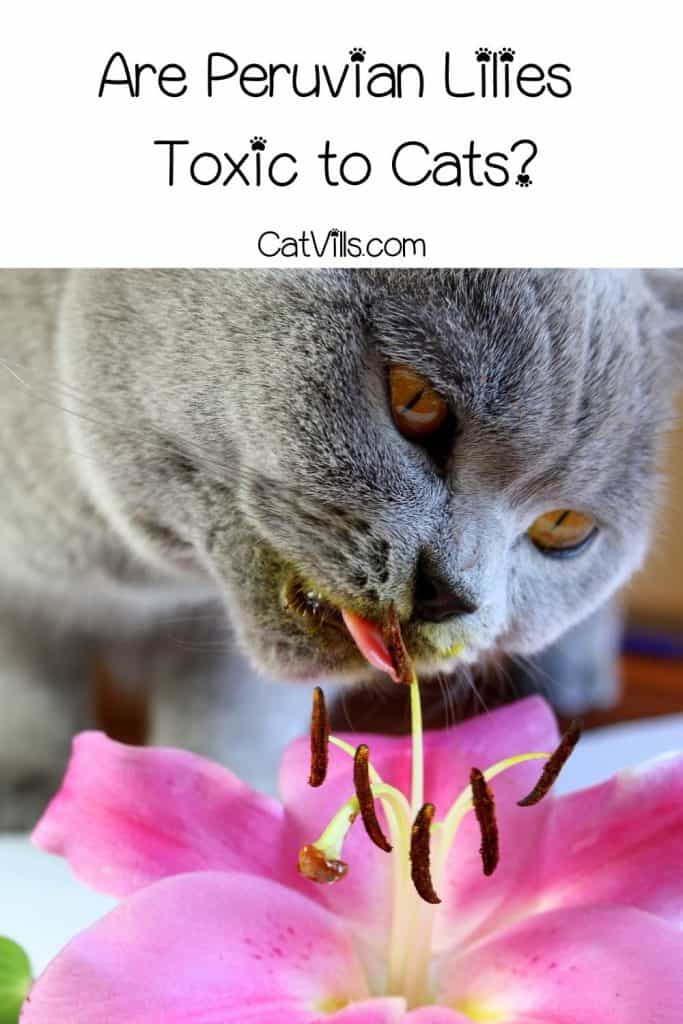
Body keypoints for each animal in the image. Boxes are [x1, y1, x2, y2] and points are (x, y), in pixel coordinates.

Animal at [1, 268, 683, 827]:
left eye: (563, 528)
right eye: (416, 399)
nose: (451, 594)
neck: (121, 576)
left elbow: (231, 722)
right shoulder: (21, 588)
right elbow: (28, 692)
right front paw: (26, 802)